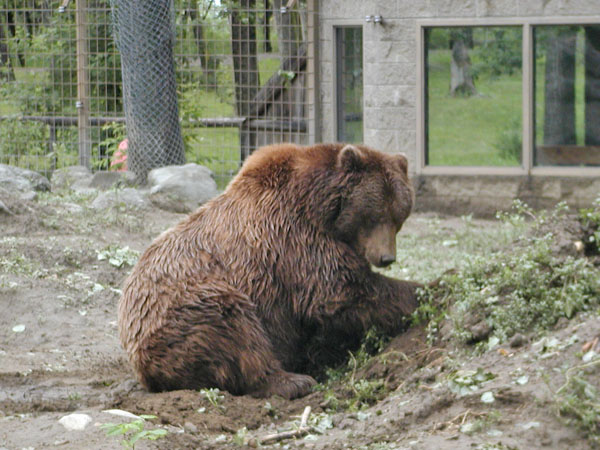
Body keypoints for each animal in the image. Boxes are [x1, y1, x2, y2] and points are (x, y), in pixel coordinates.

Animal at [118, 142, 422, 400]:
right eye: (374, 215)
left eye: (399, 215)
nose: (386, 257)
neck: (321, 206)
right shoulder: (293, 237)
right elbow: (339, 291)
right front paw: (427, 290)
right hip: (186, 308)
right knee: (236, 332)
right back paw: (292, 381)